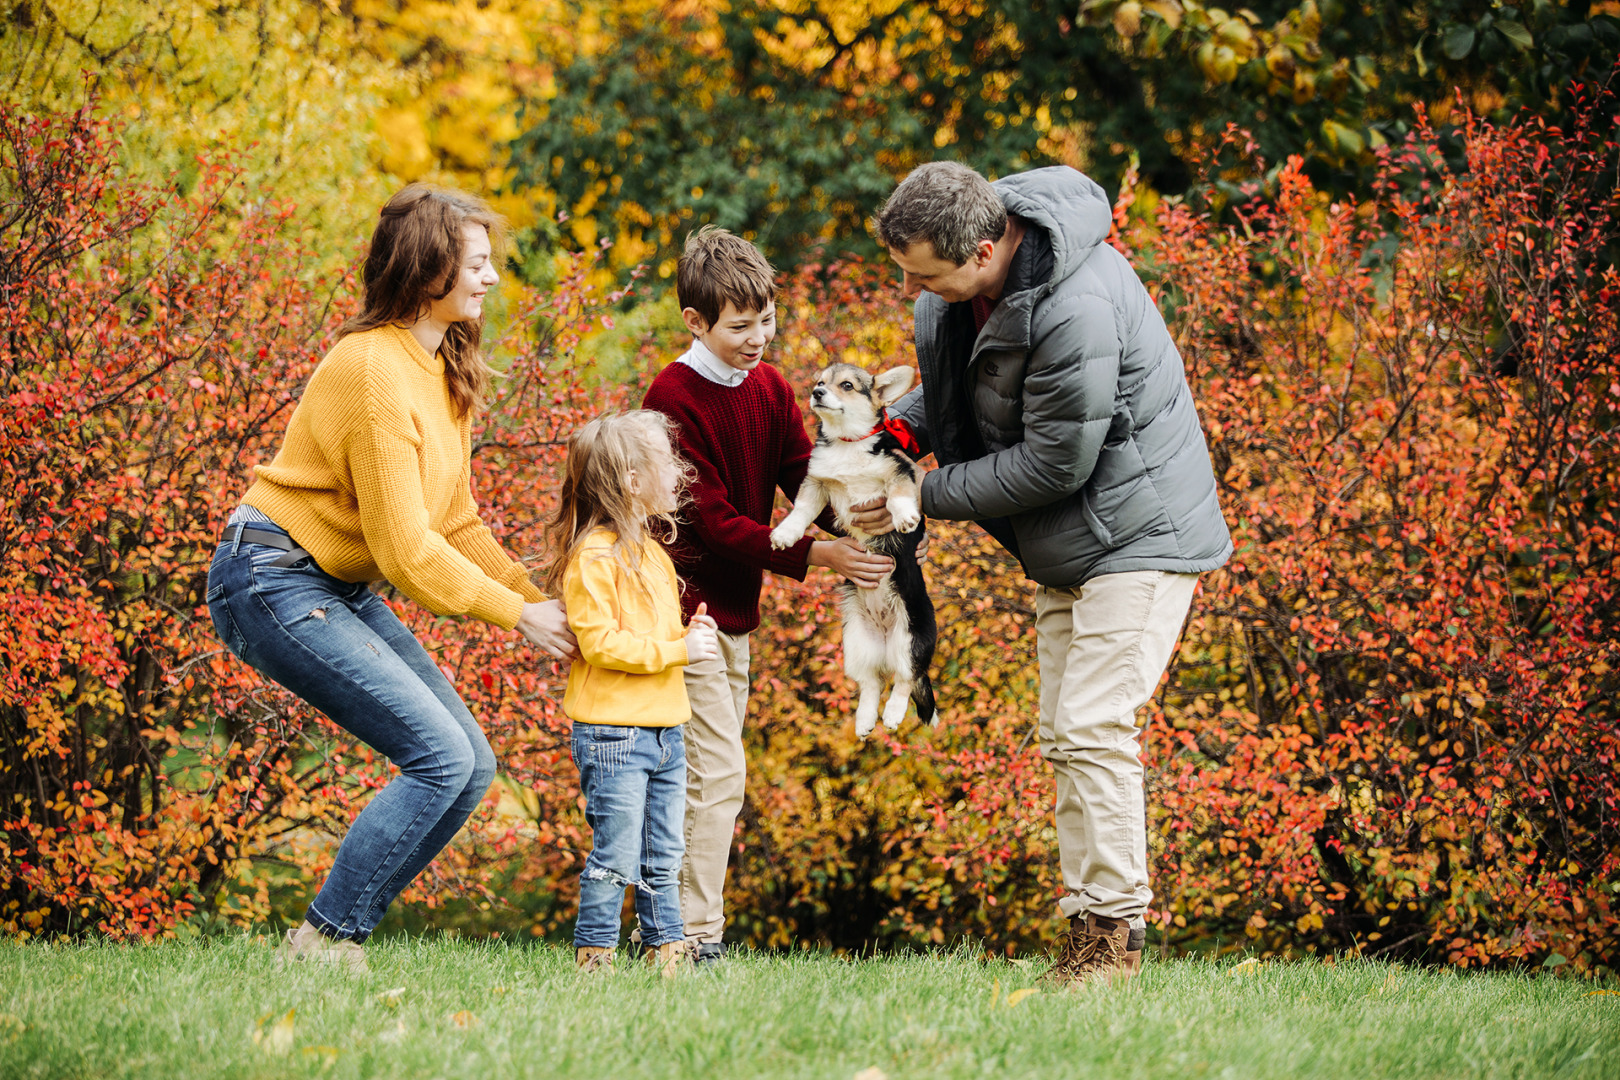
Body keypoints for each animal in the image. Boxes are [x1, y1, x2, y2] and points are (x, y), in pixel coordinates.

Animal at [767, 367, 939, 738]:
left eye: (846, 385)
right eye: (820, 381)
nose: (816, 393)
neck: (847, 443)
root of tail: (886, 639)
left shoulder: (898, 471)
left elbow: (898, 494)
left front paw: (905, 517)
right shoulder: (816, 484)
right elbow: (801, 511)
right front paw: (785, 534)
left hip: (911, 640)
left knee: (906, 680)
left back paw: (892, 715)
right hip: (856, 644)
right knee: (872, 683)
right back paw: (864, 721)